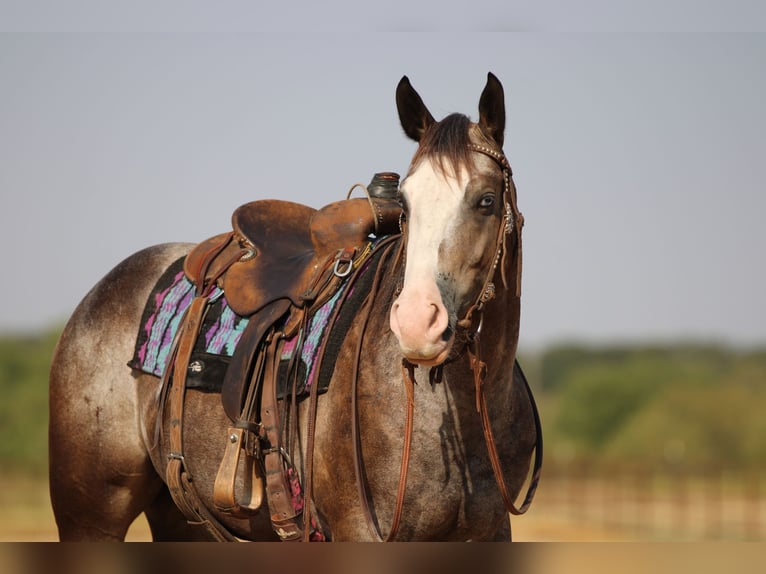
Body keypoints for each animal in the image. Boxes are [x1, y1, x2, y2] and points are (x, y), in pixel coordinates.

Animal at [48, 73, 544, 544]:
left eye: (486, 200)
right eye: (404, 206)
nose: (415, 323)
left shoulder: (490, 532)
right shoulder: (361, 532)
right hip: (89, 517)